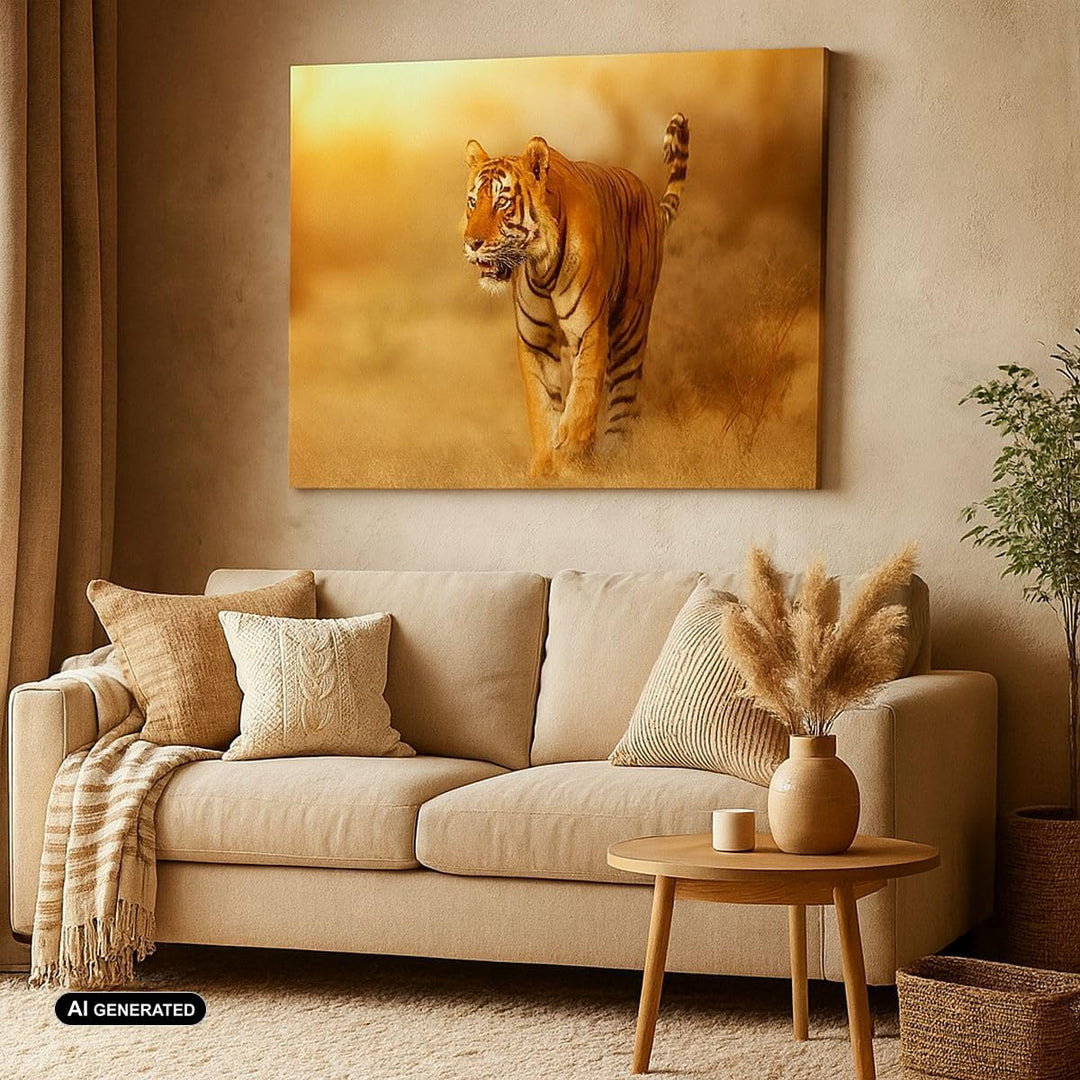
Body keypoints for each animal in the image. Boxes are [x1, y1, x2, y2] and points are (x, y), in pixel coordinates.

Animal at [462, 113, 690, 477]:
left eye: (502, 202)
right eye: (473, 202)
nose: (471, 243)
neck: (540, 265)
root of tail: (650, 201)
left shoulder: (590, 329)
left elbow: (583, 396)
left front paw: (570, 455)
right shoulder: (535, 341)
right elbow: (542, 407)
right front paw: (544, 467)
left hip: (630, 327)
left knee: (624, 398)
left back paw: (615, 457)